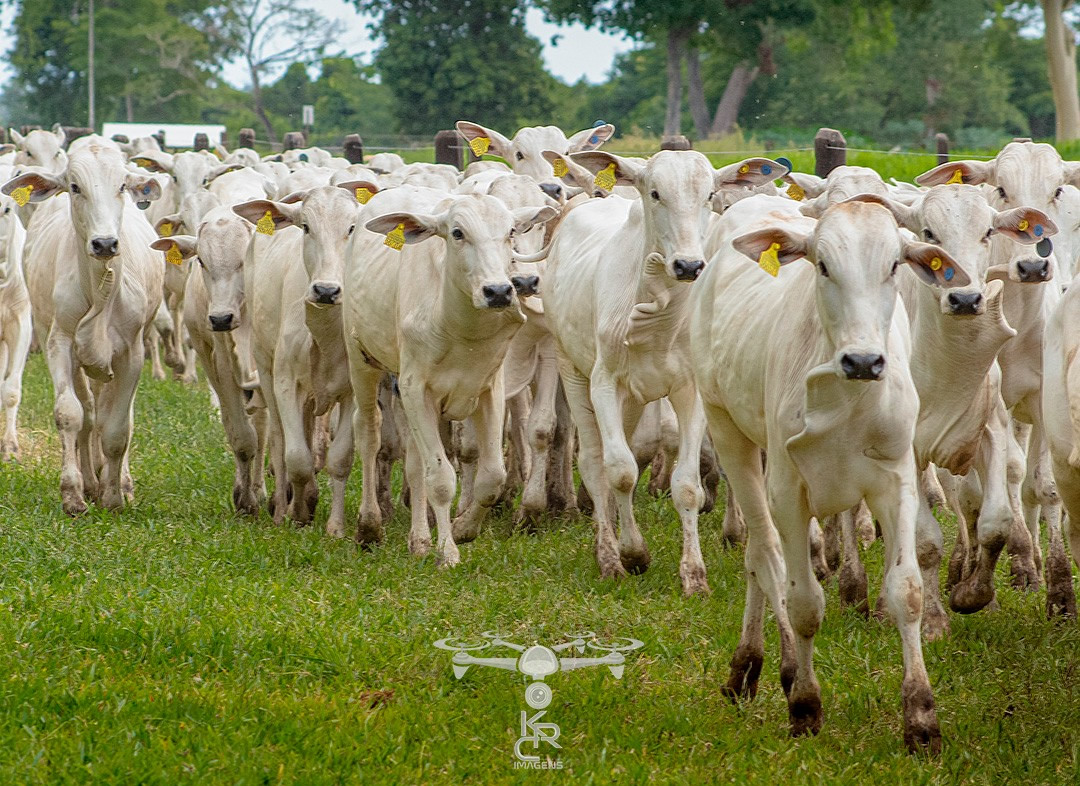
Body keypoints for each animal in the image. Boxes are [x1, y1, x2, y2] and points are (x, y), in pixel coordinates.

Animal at [691, 195, 963, 747]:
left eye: (894, 265)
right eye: (822, 265)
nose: (863, 360)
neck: (848, 399)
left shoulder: (897, 481)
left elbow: (906, 591)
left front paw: (921, 717)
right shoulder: (789, 491)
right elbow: (804, 603)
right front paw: (805, 704)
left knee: (757, 559)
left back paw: (747, 668)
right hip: (729, 430)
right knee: (764, 553)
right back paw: (769, 665)